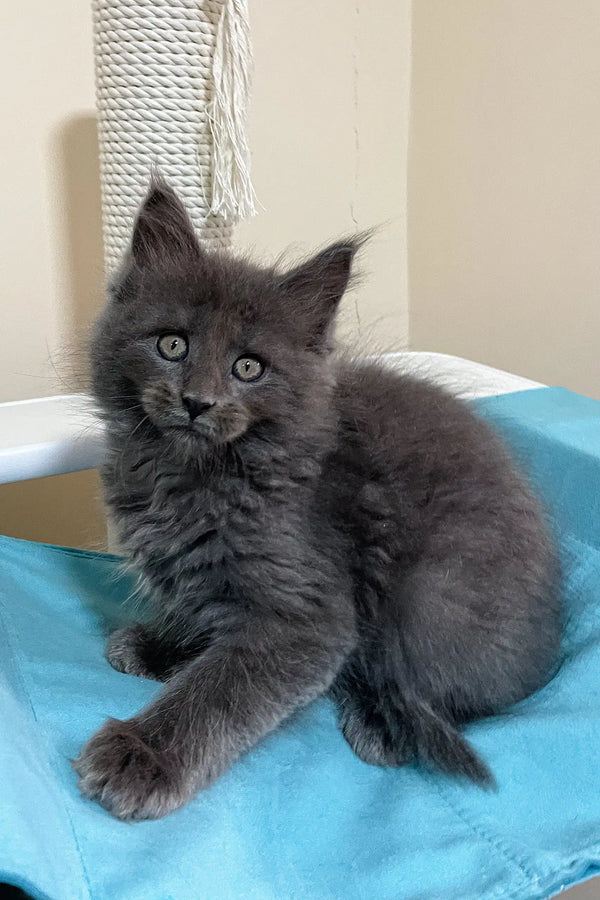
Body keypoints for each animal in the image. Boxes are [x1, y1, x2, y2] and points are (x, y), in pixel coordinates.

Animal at [75, 183, 564, 824]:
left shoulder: (305, 613)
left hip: (430, 593)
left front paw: (144, 753)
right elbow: (202, 622)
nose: (197, 401)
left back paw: (380, 726)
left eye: (249, 367)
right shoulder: (199, 575)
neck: (189, 476)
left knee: (458, 694)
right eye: (172, 344)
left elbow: (221, 686)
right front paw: (161, 646)